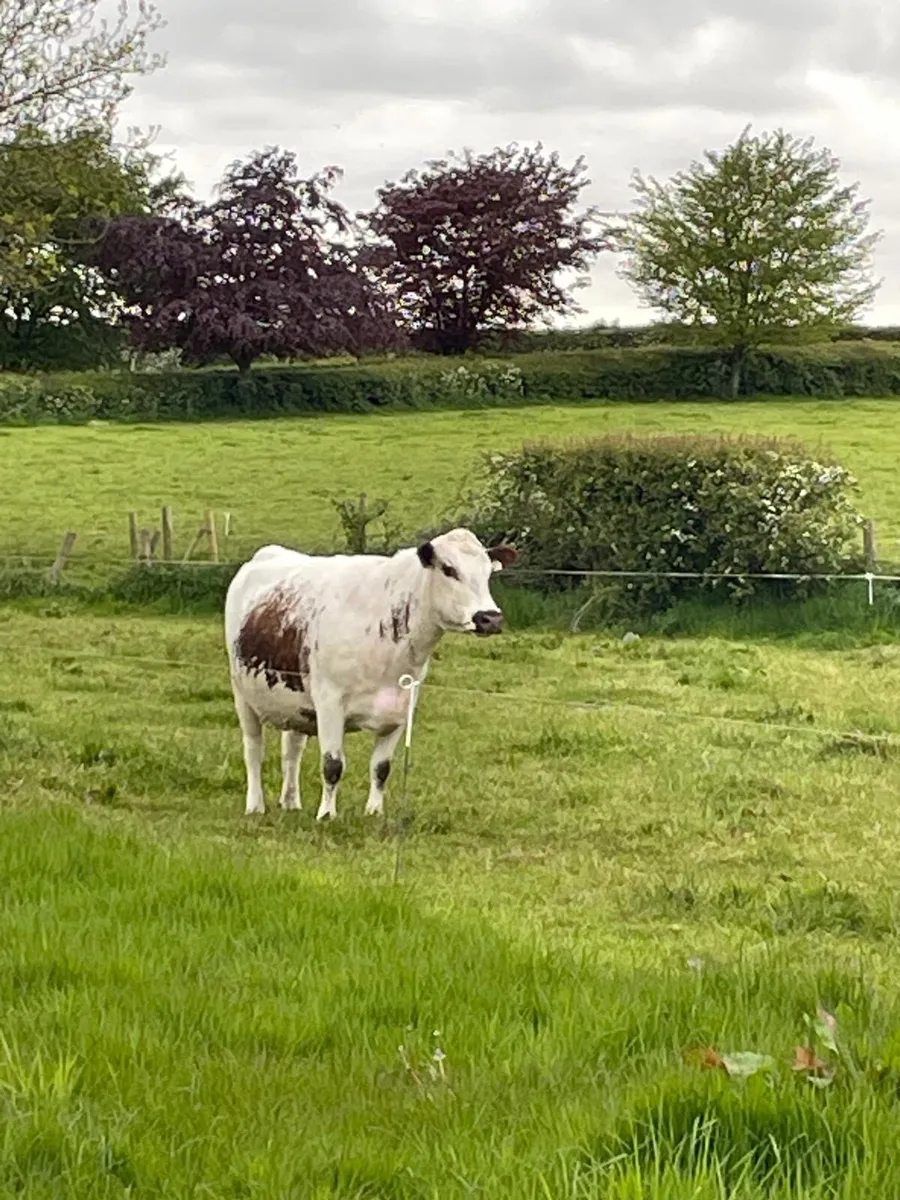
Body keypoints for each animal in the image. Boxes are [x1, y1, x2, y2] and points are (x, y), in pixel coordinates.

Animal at [224, 527, 518, 820]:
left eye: (488, 572)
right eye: (448, 569)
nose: (490, 618)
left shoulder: (401, 707)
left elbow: (381, 768)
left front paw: (374, 812)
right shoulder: (329, 703)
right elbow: (332, 765)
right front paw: (327, 815)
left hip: (297, 704)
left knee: (292, 750)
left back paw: (291, 802)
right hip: (243, 695)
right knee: (254, 751)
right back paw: (255, 805)